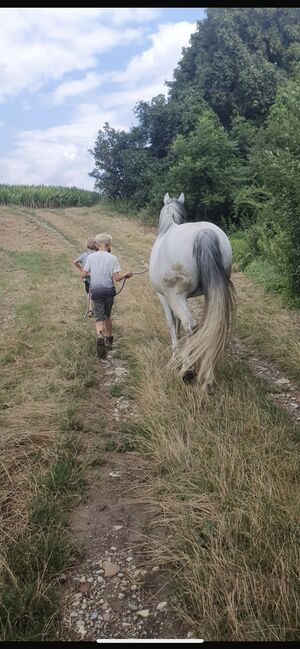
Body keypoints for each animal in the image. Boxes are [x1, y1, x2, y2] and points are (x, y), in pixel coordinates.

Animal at [149, 192, 236, 392]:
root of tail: (203, 234)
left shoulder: (164, 297)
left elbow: (172, 323)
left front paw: (175, 358)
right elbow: (178, 324)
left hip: (176, 296)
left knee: (191, 325)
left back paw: (187, 371)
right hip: (213, 292)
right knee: (213, 325)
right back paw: (207, 381)